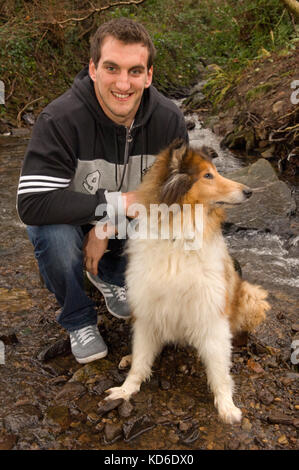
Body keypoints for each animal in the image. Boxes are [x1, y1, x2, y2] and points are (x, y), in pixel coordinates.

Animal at [106, 140, 270, 426]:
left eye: (215, 171)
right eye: (207, 175)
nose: (249, 191)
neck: (179, 236)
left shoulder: (211, 315)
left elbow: (219, 370)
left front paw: (227, 406)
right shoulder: (147, 309)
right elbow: (141, 360)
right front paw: (126, 390)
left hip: (251, 297)